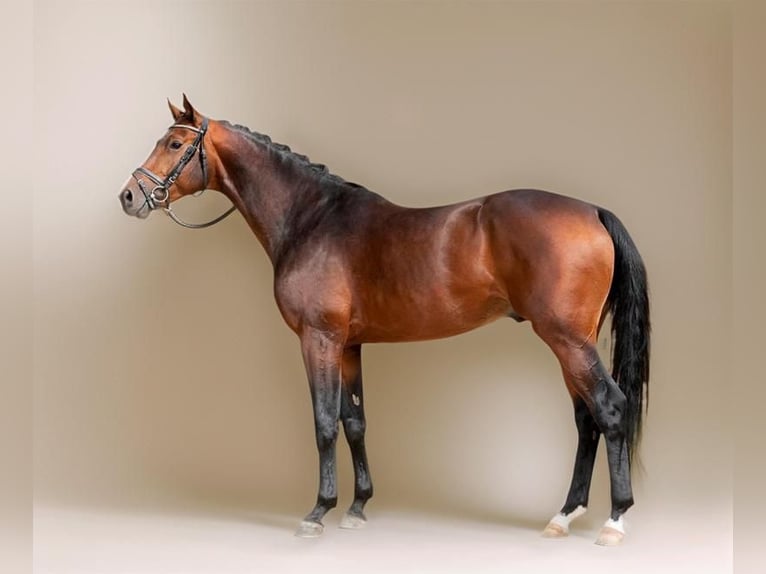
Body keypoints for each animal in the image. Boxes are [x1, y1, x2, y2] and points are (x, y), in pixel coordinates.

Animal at [119, 96, 650, 546]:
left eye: (175, 144)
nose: (129, 196)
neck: (311, 219)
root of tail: (592, 212)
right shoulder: (349, 345)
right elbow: (355, 421)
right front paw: (357, 508)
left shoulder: (318, 339)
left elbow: (324, 423)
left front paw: (318, 511)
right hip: (571, 342)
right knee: (586, 419)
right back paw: (564, 516)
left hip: (566, 339)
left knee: (610, 409)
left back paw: (614, 520)